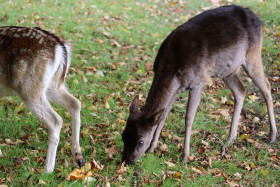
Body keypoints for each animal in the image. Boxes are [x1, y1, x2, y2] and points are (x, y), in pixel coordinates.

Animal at [0, 25, 85, 172]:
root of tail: (60, 46)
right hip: (51, 85)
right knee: (75, 103)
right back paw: (78, 156)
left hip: (29, 88)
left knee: (56, 120)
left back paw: (47, 170)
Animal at [122, 5, 278, 164]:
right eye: (123, 135)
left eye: (140, 141)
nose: (127, 161)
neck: (171, 68)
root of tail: (257, 19)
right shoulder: (177, 88)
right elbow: (163, 114)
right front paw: (152, 148)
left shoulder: (197, 82)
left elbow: (189, 118)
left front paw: (185, 156)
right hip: (227, 71)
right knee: (241, 90)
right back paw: (230, 139)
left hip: (253, 55)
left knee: (266, 87)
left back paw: (272, 135)